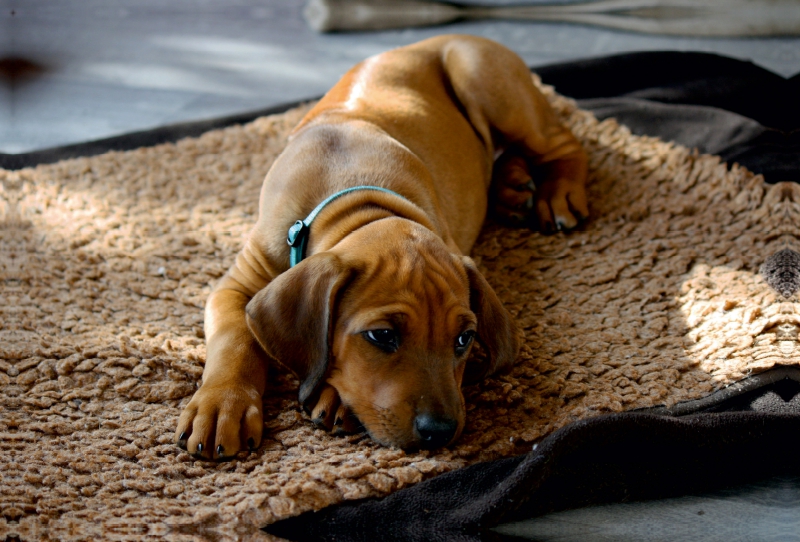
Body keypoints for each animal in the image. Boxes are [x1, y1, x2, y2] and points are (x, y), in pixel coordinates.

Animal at [177, 33, 588, 460]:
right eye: (382, 336)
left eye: (464, 339)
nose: (440, 432)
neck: (356, 203)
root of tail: (439, 38)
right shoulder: (237, 283)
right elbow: (235, 339)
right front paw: (223, 405)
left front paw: (335, 397)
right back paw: (513, 188)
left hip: (481, 74)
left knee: (562, 143)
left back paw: (557, 193)